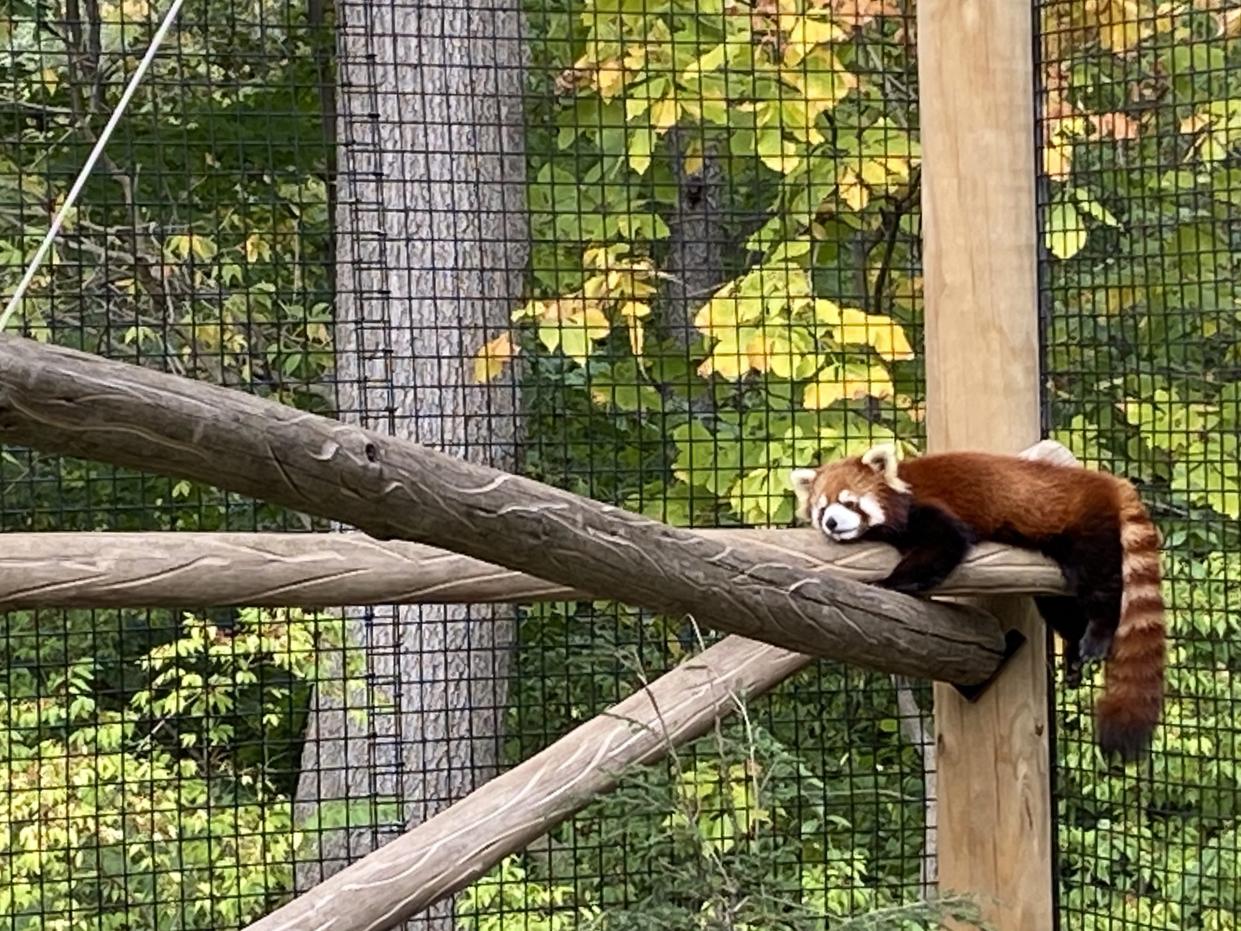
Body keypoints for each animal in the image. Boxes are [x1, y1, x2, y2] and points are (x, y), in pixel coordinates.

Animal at [789, 446, 1166, 764]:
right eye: (822, 507)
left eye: (850, 502)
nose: (831, 522)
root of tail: (1107, 481)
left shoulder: (929, 510)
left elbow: (946, 544)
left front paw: (885, 585)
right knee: (1061, 608)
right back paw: (1073, 652)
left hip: (1085, 528)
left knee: (1101, 584)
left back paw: (1099, 634)